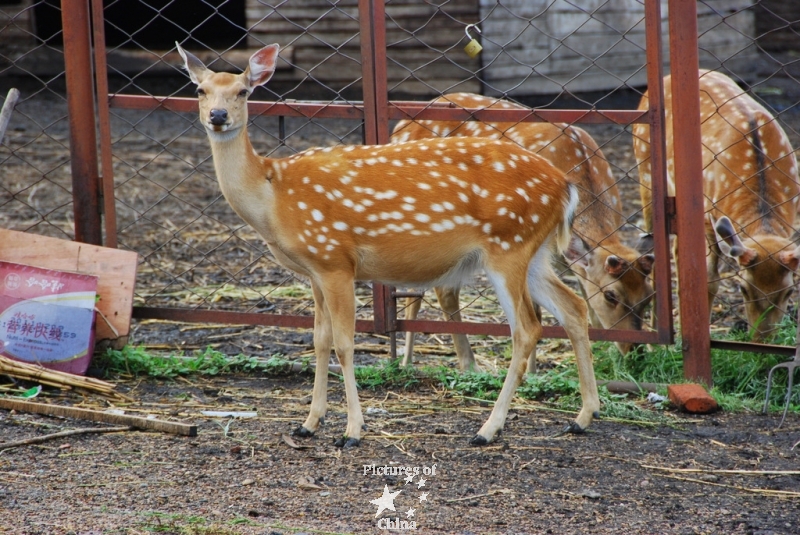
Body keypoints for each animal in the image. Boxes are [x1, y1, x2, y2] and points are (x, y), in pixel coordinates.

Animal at [177, 45, 600, 448]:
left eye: (243, 91)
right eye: (199, 90)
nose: (217, 115)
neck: (272, 194)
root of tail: (565, 186)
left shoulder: (335, 260)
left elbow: (345, 345)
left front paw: (352, 431)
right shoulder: (314, 271)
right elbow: (319, 341)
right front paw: (309, 424)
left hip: (508, 245)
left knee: (527, 329)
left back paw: (488, 429)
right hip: (534, 250)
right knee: (573, 308)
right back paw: (582, 417)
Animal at [390, 92, 652, 368]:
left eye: (648, 296)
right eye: (610, 295)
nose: (635, 351)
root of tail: (398, 128)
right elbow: (537, 311)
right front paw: (533, 369)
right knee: (435, 290)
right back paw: (433, 361)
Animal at [636, 70, 800, 340]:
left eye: (788, 292)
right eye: (743, 289)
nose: (761, 340)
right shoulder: (707, 214)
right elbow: (709, 280)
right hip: (645, 168)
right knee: (653, 250)